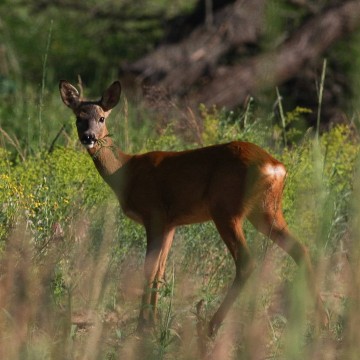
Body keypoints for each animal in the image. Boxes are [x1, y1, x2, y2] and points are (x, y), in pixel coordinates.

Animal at [60, 80, 328, 336]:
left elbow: (148, 269)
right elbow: (160, 271)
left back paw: (211, 326)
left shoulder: (154, 214)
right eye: (78, 118)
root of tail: (276, 167)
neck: (126, 172)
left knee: (247, 261)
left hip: (226, 208)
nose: (89, 137)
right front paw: (152, 323)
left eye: (102, 118)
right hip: (266, 211)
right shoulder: (170, 223)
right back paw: (322, 321)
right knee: (300, 249)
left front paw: (141, 326)